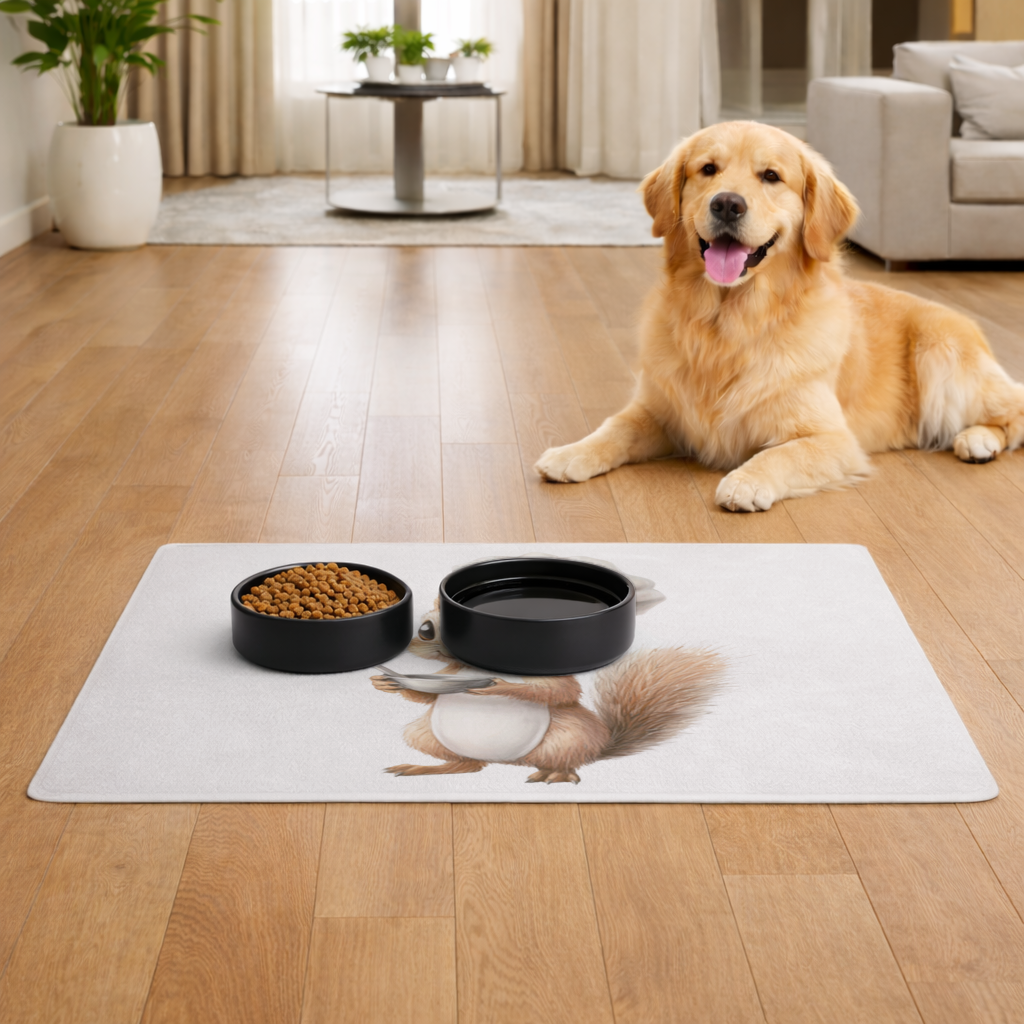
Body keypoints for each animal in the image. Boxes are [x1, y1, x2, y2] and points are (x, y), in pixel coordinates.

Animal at [371, 602, 724, 785]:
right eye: (426, 630)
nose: (446, 646)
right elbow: (428, 696)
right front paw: (386, 683)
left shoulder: (555, 679)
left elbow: (555, 691)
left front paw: (499, 686)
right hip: (424, 734)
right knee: (470, 766)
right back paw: (423, 768)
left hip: (569, 736)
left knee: (567, 761)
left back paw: (556, 774)